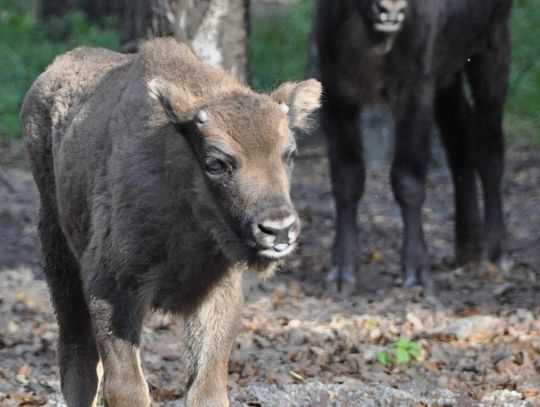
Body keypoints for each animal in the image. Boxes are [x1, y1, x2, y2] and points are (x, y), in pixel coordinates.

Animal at [22, 37, 320, 404]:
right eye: (216, 162)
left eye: (289, 154)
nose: (278, 230)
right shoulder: (112, 289)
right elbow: (126, 387)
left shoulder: (216, 294)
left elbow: (206, 388)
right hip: (59, 256)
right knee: (78, 357)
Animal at [314, 0, 512, 294]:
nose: (391, 9)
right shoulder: (336, 92)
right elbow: (346, 180)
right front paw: (342, 271)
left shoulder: (416, 91)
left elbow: (408, 179)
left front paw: (416, 272)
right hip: (448, 76)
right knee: (459, 143)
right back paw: (467, 247)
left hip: (491, 52)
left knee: (490, 150)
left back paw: (495, 253)